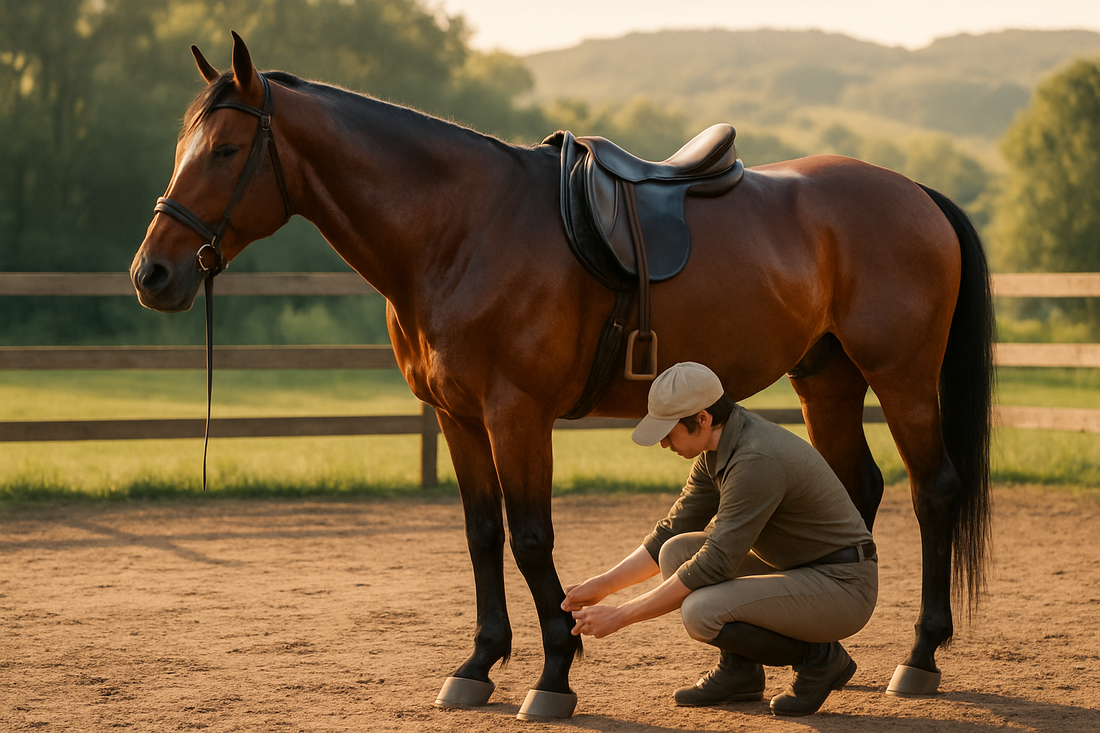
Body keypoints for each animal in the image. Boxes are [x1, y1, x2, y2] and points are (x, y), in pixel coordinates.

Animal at [130, 32, 994, 719]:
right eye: (181, 149)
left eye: (226, 151)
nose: (152, 275)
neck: (461, 227)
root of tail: (915, 191)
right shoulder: (457, 416)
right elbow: (482, 535)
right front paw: (478, 664)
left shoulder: (517, 413)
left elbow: (531, 536)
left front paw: (553, 671)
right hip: (827, 378)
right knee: (858, 484)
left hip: (902, 377)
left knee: (933, 490)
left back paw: (918, 657)